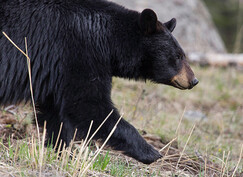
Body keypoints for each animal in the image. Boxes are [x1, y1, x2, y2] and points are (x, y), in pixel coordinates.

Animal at [0, 0, 197, 164]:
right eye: (178, 56)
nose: (194, 80)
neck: (108, 39)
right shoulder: (78, 53)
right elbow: (89, 106)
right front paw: (150, 152)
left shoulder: (57, 72)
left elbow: (56, 113)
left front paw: (63, 151)